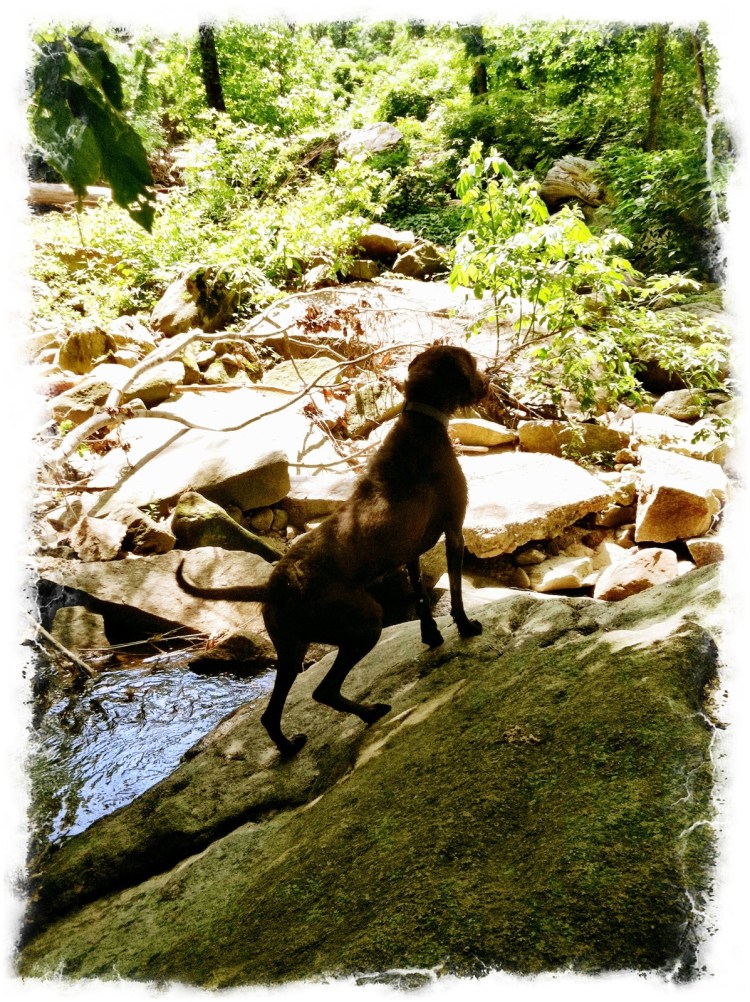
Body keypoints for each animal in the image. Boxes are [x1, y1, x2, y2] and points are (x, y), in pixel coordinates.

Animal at [178, 345, 488, 757]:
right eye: (473, 365)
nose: (488, 383)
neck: (422, 421)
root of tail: (275, 585)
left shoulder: (411, 551)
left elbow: (422, 597)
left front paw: (431, 636)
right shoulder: (454, 531)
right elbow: (454, 593)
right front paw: (466, 627)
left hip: (292, 650)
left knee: (272, 714)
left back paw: (290, 746)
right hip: (365, 621)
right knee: (324, 690)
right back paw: (370, 714)